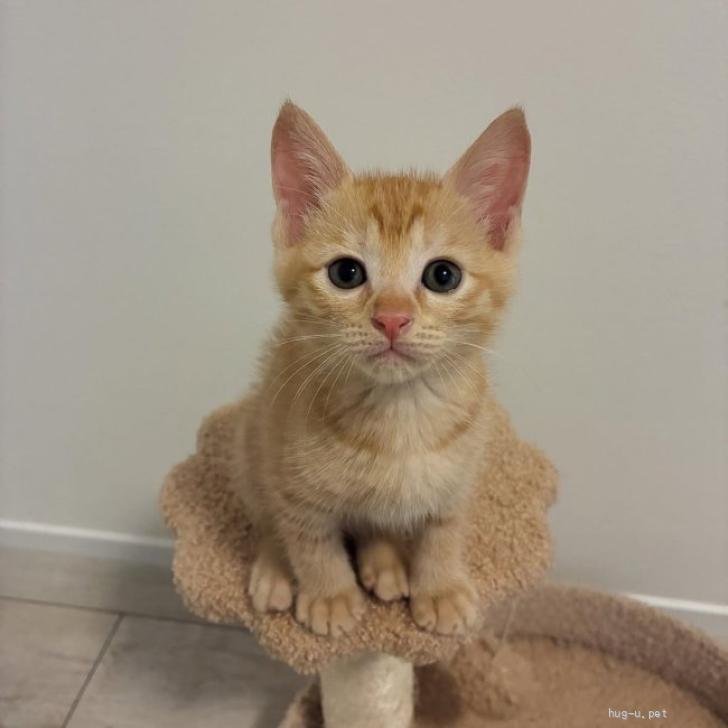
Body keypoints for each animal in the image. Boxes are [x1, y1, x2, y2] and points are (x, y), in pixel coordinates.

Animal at [232, 101, 530, 637]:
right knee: (266, 515)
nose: (392, 318)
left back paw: (384, 564)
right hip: (251, 434)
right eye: (346, 273)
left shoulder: (460, 476)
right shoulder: (291, 482)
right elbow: (309, 539)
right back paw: (274, 570)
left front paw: (440, 587)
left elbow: (445, 530)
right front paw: (329, 595)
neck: (401, 415)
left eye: (443, 275)